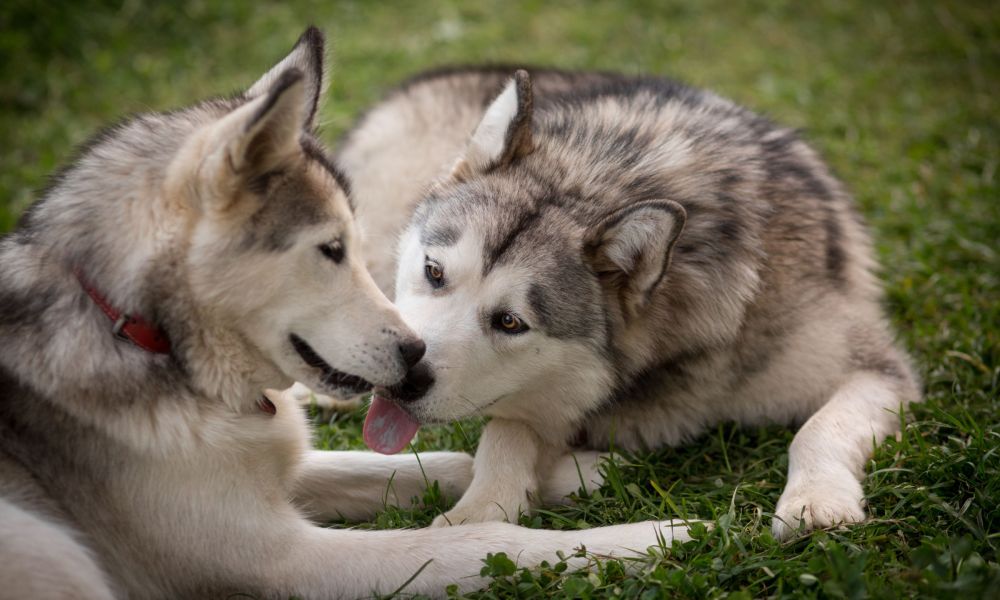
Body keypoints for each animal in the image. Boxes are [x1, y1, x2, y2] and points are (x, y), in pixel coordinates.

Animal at [0, 35, 692, 596]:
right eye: (332, 250)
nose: (414, 360)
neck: (157, 346)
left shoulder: (293, 470)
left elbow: (442, 463)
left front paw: (576, 470)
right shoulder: (286, 560)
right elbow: (472, 542)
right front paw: (660, 535)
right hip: (55, 550)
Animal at [338, 67, 920, 540]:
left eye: (509, 322)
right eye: (435, 272)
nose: (402, 380)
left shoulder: (876, 369)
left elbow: (816, 430)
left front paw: (815, 499)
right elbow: (506, 429)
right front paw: (481, 510)